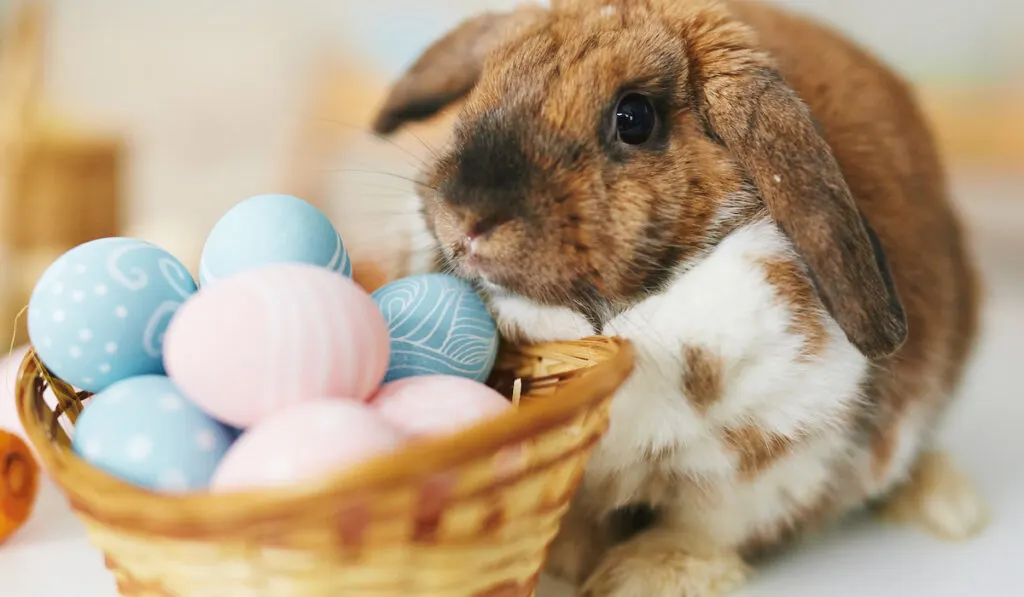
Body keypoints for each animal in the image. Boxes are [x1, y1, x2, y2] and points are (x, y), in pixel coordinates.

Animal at [370, 1, 983, 597]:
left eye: (634, 118)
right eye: (482, 86)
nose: (466, 219)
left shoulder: (780, 456)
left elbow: (707, 527)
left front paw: (640, 576)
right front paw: (562, 558)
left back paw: (950, 506)